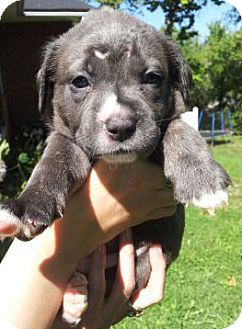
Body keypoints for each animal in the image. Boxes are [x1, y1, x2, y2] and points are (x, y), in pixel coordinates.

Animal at [0, 7, 231, 326]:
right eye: (80, 81)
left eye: (152, 77)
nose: (121, 126)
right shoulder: (67, 138)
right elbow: (53, 161)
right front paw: (26, 205)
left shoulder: (166, 122)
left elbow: (178, 129)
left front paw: (203, 181)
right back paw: (74, 296)